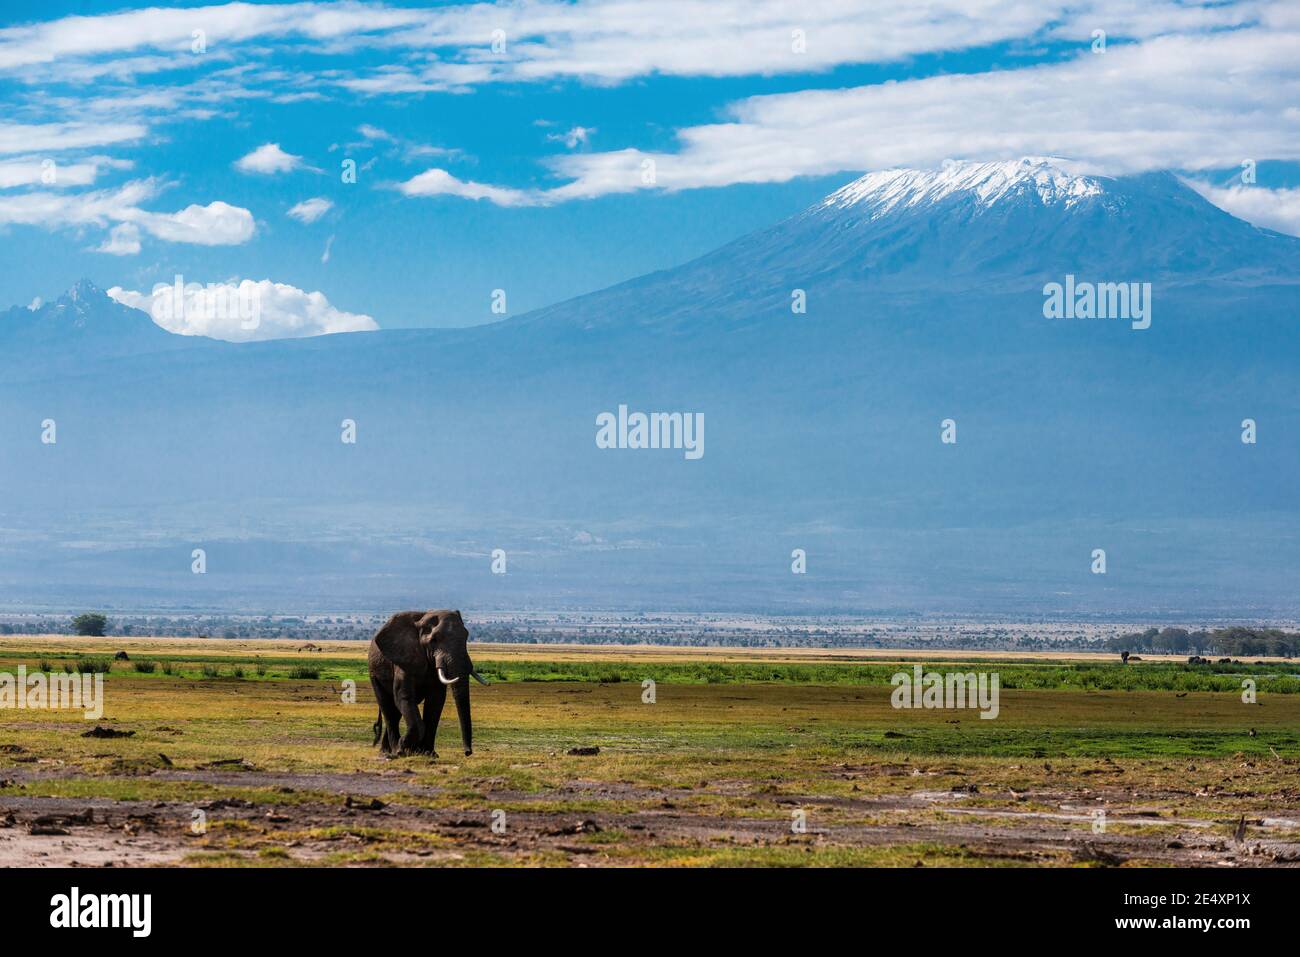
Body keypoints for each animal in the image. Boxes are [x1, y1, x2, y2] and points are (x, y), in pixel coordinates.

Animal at [366, 608, 488, 759]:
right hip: (374, 674)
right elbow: (404, 696)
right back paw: (393, 750)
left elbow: (435, 701)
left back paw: (387, 750)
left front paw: (428, 753)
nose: (467, 752)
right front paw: (403, 748)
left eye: (466, 637)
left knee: (396, 712)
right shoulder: (404, 659)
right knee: (389, 710)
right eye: (434, 640)